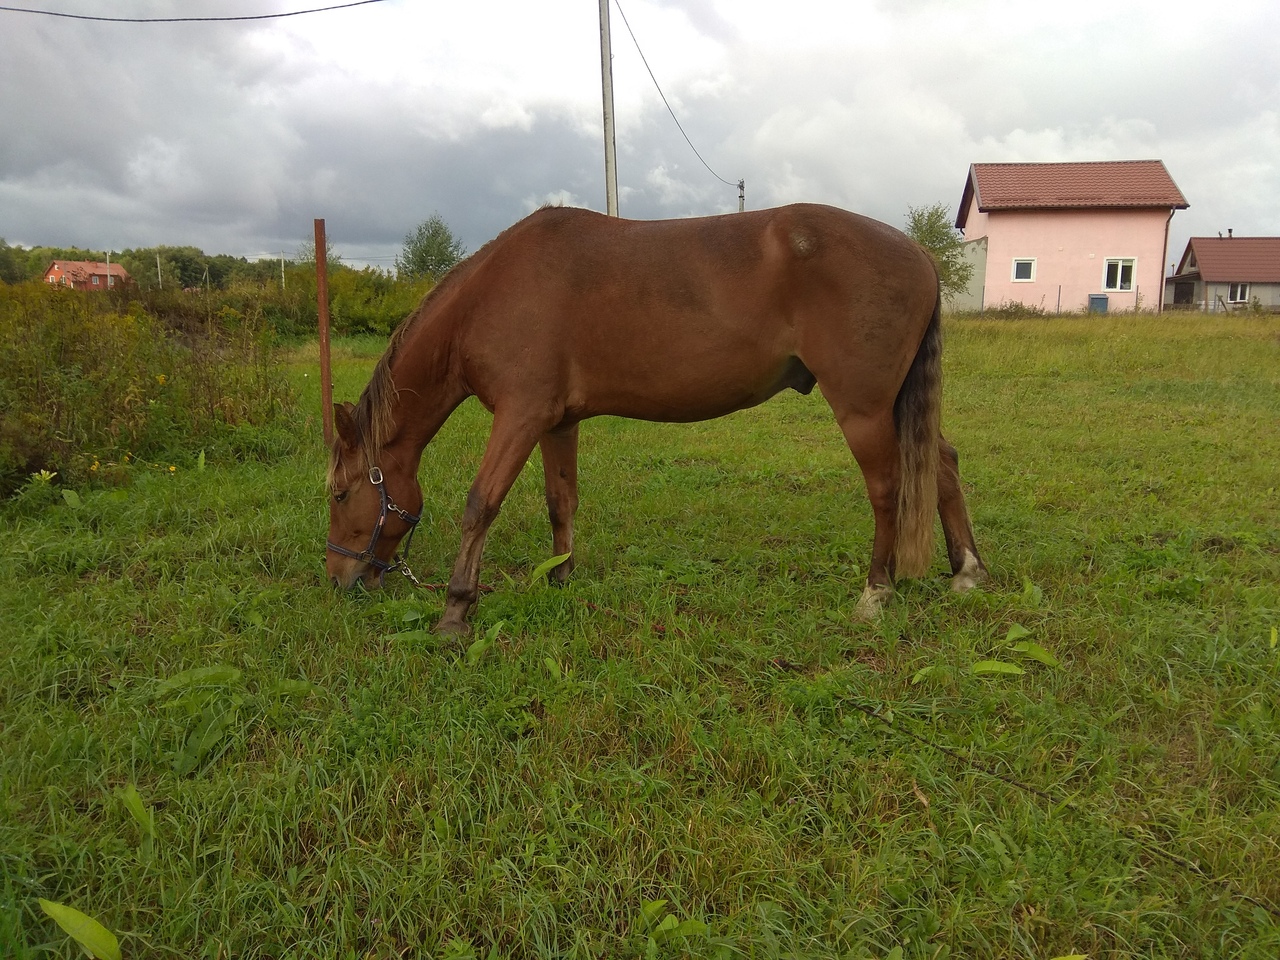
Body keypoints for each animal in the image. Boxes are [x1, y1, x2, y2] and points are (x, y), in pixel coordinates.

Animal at [325, 203, 983, 634]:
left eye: (340, 493)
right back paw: (967, 572)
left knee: (888, 488)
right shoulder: (556, 421)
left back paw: (876, 592)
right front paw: (561, 576)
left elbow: (480, 504)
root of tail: (919, 254)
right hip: (897, 406)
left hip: (864, 408)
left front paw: (456, 610)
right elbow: (560, 501)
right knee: (943, 464)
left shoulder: (519, 416)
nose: (339, 579)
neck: (493, 294)